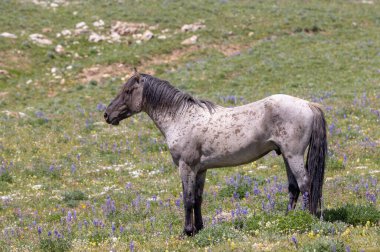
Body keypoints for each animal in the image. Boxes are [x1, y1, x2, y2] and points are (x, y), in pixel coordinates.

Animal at [104, 71, 326, 236]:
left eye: (128, 91)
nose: (107, 115)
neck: (180, 118)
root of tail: (308, 105)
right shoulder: (200, 169)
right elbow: (198, 199)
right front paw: (199, 228)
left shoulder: (186, 167)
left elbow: (187, 199)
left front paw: (187, 232)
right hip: (286, 156)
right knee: (293, 188)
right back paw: (286, 219)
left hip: (294, 155)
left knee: (305, 184)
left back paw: (307, 219)